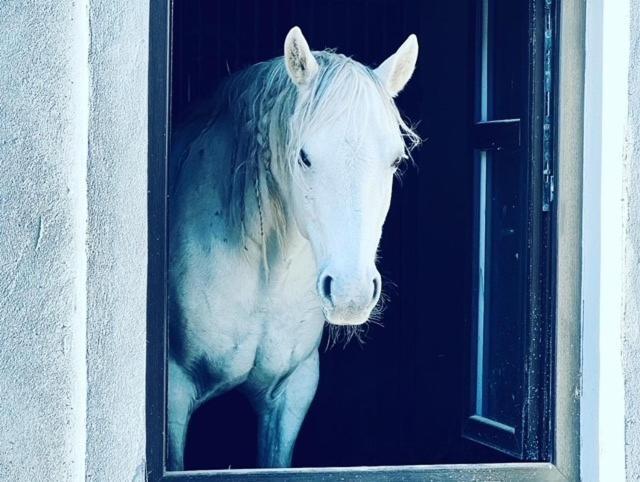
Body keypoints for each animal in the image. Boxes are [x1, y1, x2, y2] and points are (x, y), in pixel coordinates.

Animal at [169, 27, 420, 470]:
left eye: (395, 160)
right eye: (304, 157)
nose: (351, 294)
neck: (264, 276)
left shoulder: (291, 392)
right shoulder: (174, 391)